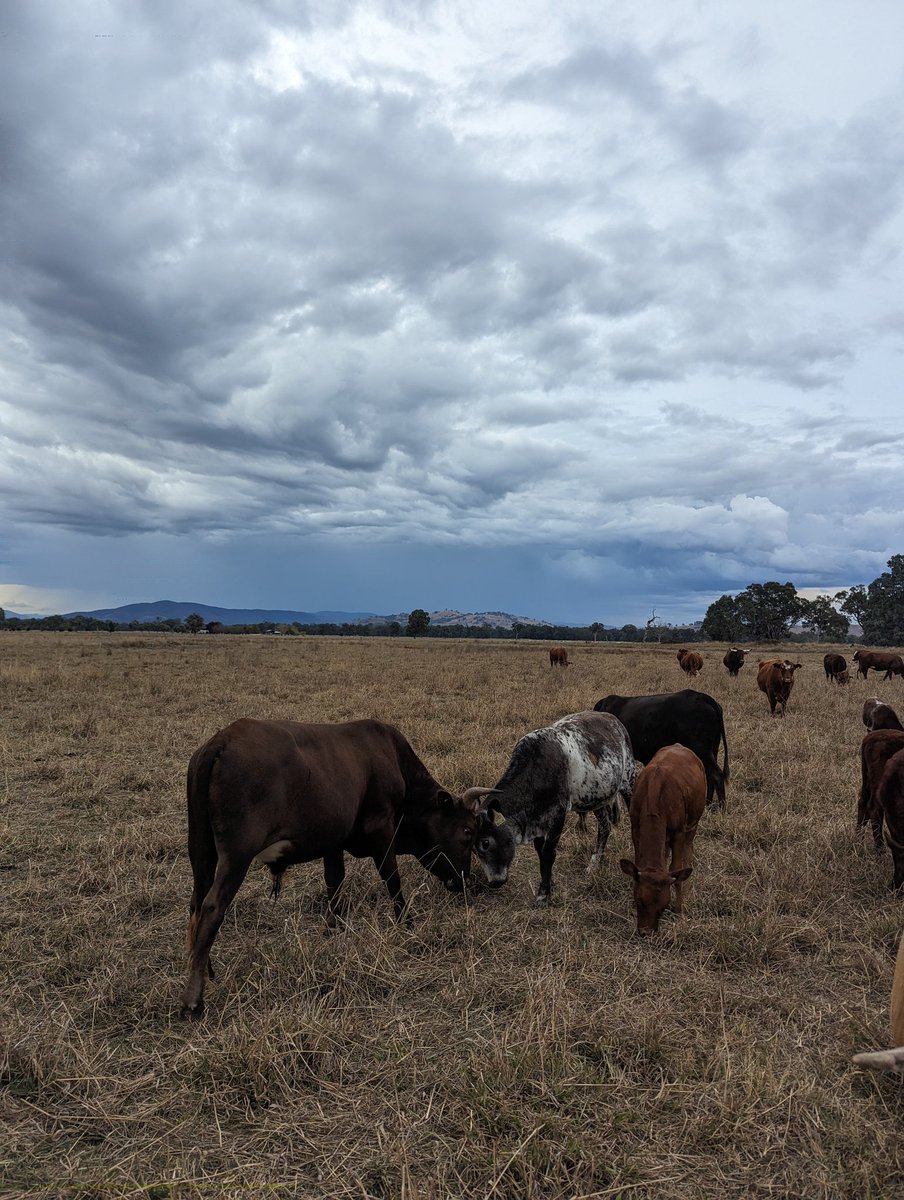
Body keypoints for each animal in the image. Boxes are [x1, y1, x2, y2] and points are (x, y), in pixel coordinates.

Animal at [177, 715, 487, 1017]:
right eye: (468, 831)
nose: (464, 880)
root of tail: (222, 740)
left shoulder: (334, 841)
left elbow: (334, 881)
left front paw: (332, 929)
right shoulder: (381, 827)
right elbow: (391, 877)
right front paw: (405, 921)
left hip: (201, 852)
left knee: (196, 905)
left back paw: (204, 970)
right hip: (237, 853)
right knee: (212, 907)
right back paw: (194, 1000)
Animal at [473, 705, 633, 902]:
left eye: (485, 843)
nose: (494, 882)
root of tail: (614, 720)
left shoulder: (558, 814)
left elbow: (549, 853)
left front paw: (543, 895)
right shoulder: (536, 820)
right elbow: (541, 853)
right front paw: (548, 884)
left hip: (628, 781)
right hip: (597, 798)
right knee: (605, 827)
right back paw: (594, 864)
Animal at [593, 691, 734, 811]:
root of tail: (703, 697)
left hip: (702, 750)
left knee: (717, 775)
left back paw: (721, 807)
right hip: (712, 750)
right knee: (710, 776)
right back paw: (707, 805)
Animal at [619, 739, 710, 936]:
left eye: (664, 905)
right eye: (639, 900)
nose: (646, 932)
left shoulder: (679, 831)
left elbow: (676, 867)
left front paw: (680, 911)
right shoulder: (635, 826)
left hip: (694, 822)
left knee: (688, 851)